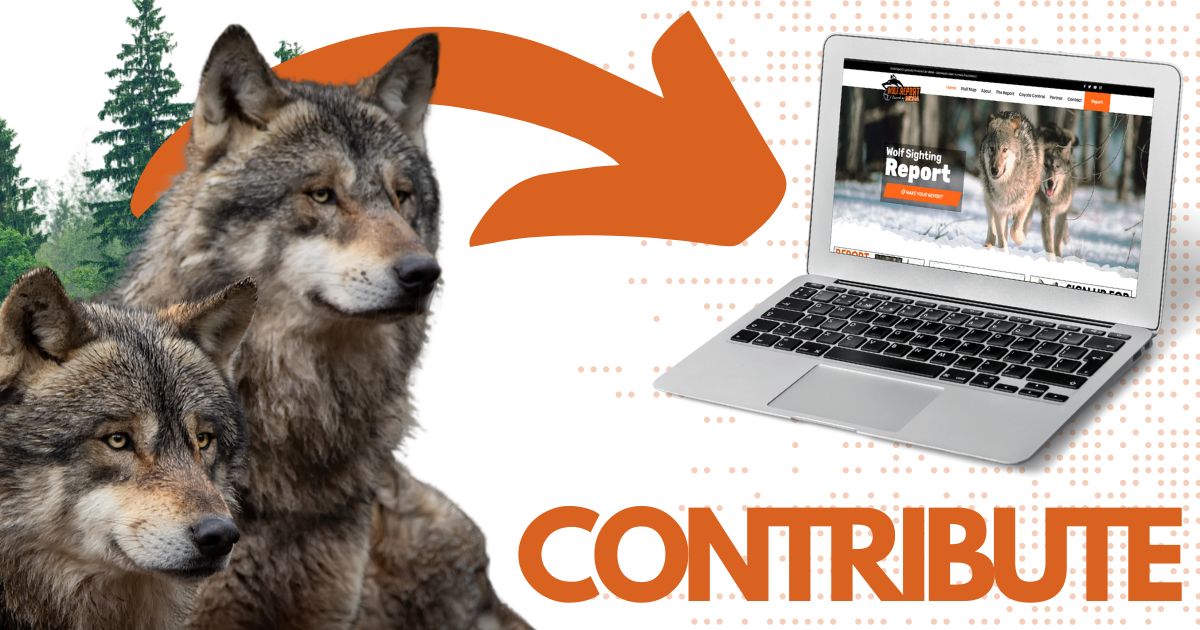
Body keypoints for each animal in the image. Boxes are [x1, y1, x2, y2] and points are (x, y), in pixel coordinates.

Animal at [978, 111, 1042, 250]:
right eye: (992, 148)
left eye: (1005, 149)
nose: (994, 170)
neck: (1006, 185)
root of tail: (1007, 112)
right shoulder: (998, 207)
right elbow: (1001, 237)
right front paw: (1004, 251)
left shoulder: (1027, 200)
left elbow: (1015, 230)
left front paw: (1021, 239)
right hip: (987, 197)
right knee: (991, 224)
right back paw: (989, 243)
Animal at [1028, 123, 1078, 258]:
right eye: (1045, 165)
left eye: (1057, 166)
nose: (1050, 182)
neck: (1054, 198)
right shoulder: (1046, 216)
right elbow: (1049, 244)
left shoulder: (1061, 213)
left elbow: (1057, 240)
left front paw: (1059, 257)